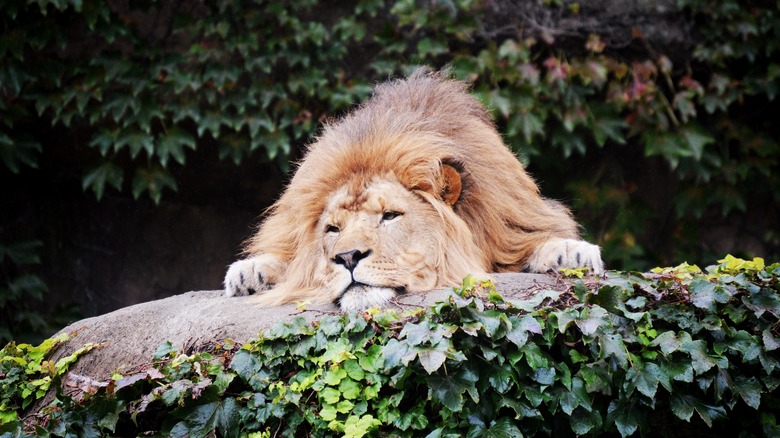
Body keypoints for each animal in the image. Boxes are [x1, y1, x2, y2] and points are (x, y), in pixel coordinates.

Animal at [224, 66, 604, 310]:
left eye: (390, 216)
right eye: (332, 229)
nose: (347, 257)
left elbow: (535, 241)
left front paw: (571, 252)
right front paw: (250, 271)